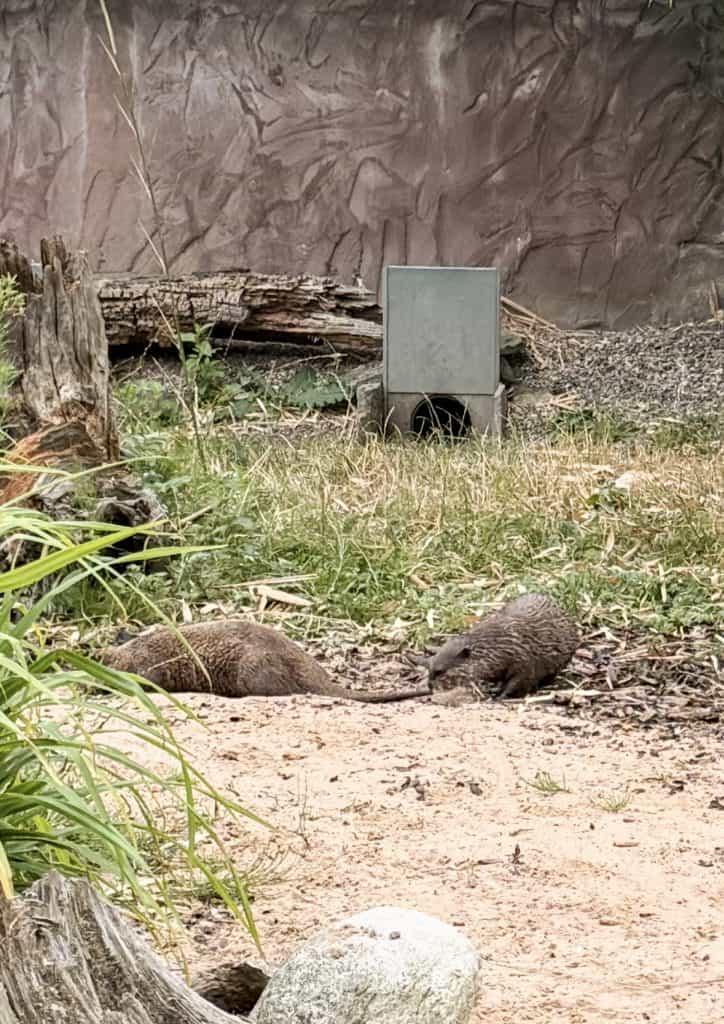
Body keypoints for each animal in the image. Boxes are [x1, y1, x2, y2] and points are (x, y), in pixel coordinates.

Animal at [424, 593, 579, 700]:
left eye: (439, 671)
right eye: (430, 666)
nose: (429, 686)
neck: (501, 646)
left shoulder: (524, 662)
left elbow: (518, 682)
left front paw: (500, 696)